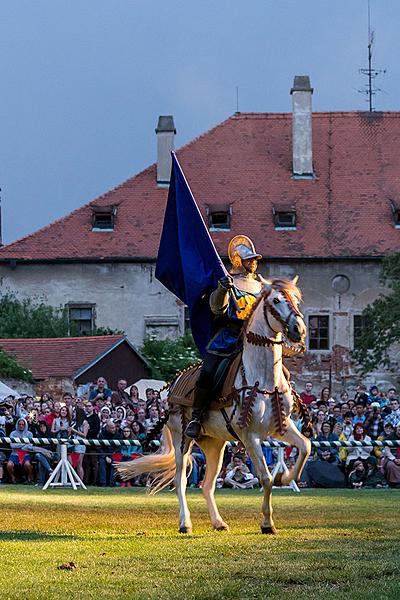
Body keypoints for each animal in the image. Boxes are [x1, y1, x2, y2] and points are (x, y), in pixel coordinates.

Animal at [119, 278, 312, 536]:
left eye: (296, 300)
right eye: (276, 300)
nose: (299, 329)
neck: (263, 377)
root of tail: (173, 385)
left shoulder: (282, 427)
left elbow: (305, 446)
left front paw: (286, 477)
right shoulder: (250, 436)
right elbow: (265, 477)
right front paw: (267, 523)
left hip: (214, 445)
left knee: (207, 485)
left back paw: (218, 522)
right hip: (183, 439)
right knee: (180, 480)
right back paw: (185, 523)